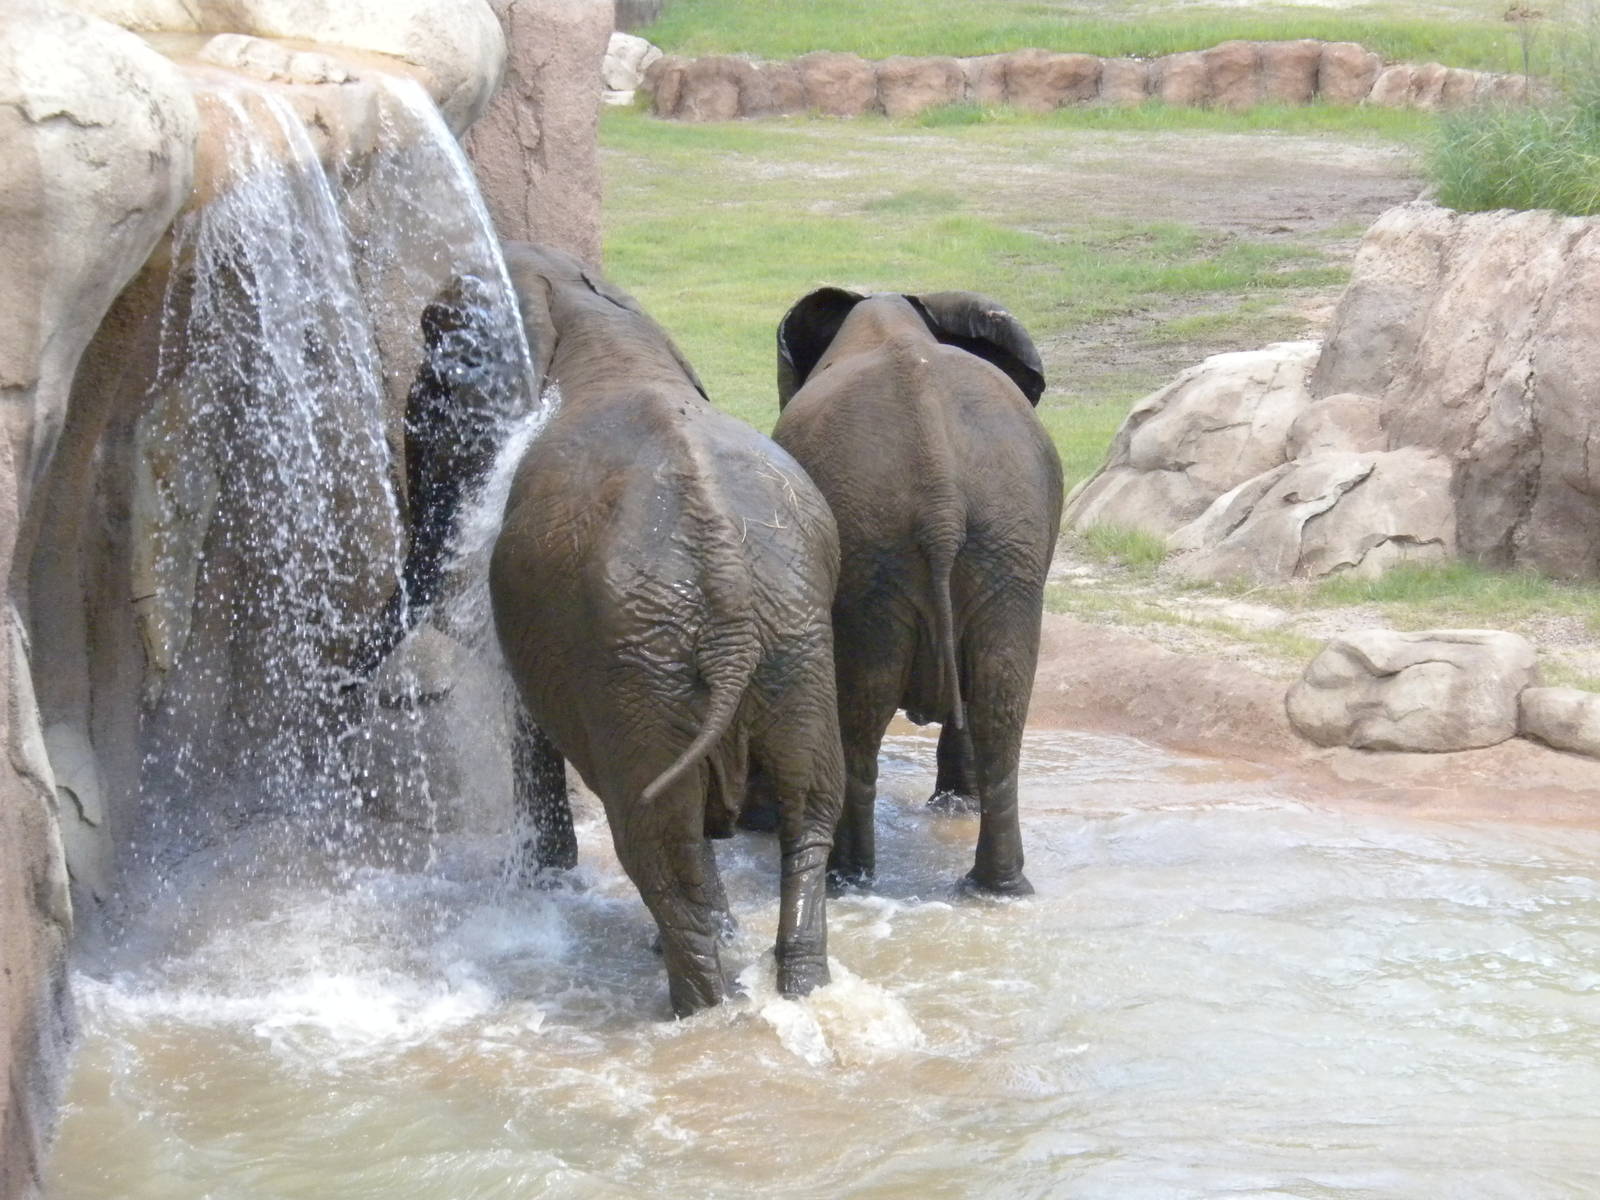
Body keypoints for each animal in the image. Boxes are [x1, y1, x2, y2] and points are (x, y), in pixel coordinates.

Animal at [478, 243, 845, 1017]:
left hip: (640, 657)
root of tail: (727, 582)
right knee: (807, 809)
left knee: (654, 842)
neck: (597, 321)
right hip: (786, 638)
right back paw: (792, 988)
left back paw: (698, 1009)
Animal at [771, 287, 1062, 896]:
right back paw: (995, 888)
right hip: (996, 547)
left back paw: (849, 878)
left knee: (861, 716)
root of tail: (941, 497)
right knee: (1000, 703)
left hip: (876, 554)